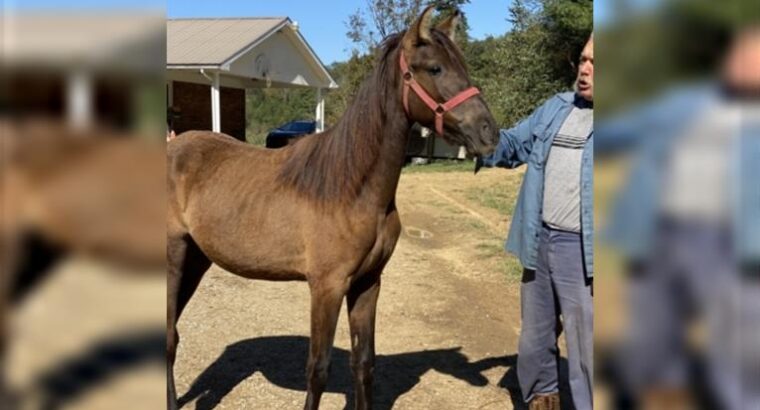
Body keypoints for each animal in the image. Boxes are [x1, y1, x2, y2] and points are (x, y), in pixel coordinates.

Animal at [166, 7, 498, 410]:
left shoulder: (368, 283)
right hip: (173, 258)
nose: (490, 133)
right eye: (434, 68)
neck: (352, 189)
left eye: (463, 65)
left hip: (196, 259)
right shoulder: (327, 286)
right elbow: (318, 368)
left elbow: (364, 363)